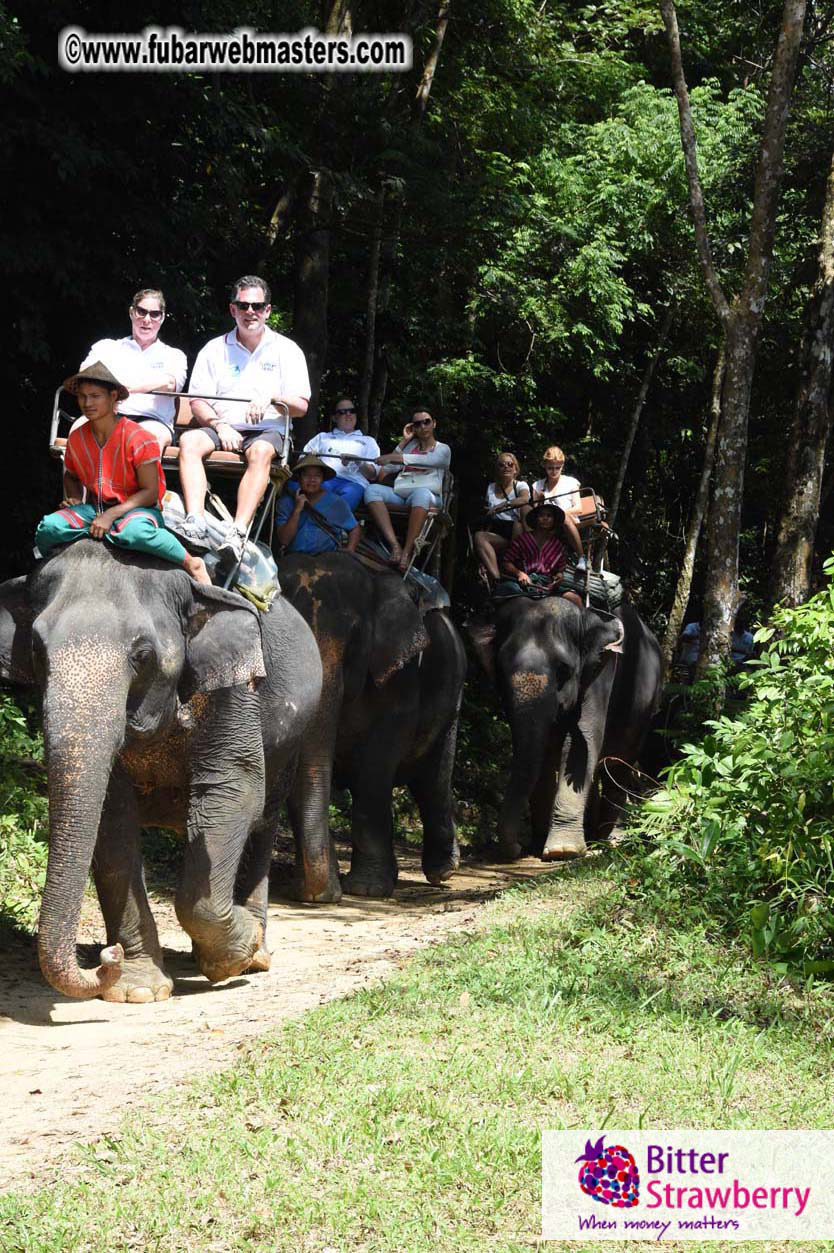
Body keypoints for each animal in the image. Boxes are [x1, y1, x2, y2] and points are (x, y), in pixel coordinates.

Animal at [0, 539, 322, 1002]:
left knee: (263, 819)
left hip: (291, 739)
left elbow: (235, 791)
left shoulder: (234, 692)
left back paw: (257, 953)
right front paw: (137, 990)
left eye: (142, 655)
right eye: (38, 652)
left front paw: (235, 952)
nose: (105, 956)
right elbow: (112, 819)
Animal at [278, 553, 467, 900]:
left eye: (354, 642)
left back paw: (443, 871)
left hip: (454, 694)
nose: (325, 896)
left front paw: (366, 890)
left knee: (432, 780)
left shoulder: (402, 676)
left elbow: (378, 762)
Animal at [487, 595, 661, 860]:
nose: (517, 848)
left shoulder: (602, 673)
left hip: (644, 710)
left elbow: (583, 741)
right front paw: (539, 845)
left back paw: (608, 839)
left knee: (617, 765)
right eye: (500, 668)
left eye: (563, 670)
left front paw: (562, 851)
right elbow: (545, 749)